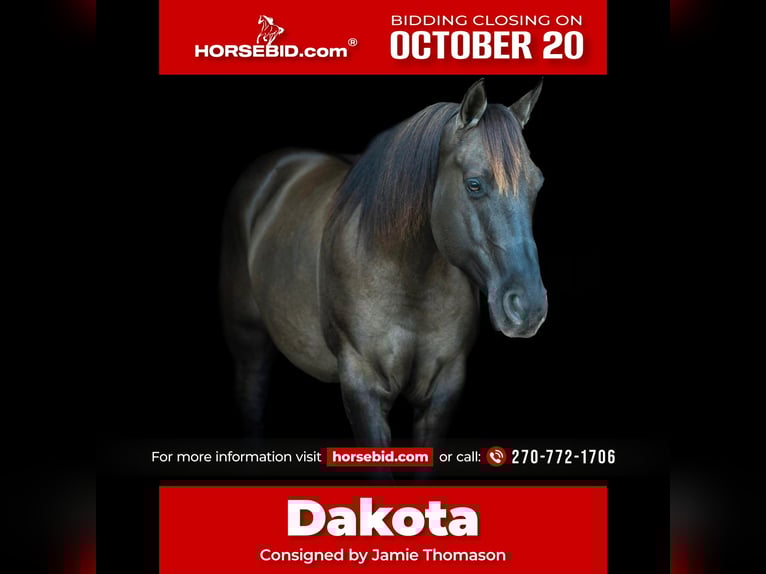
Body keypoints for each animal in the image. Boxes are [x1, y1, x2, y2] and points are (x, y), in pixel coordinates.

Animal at [220, 79, 547, 446]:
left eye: (537, 184)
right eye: (474, 184)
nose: (528, 307)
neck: (410, 282)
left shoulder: (443, 392)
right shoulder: (364, 389)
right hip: (249, 347)